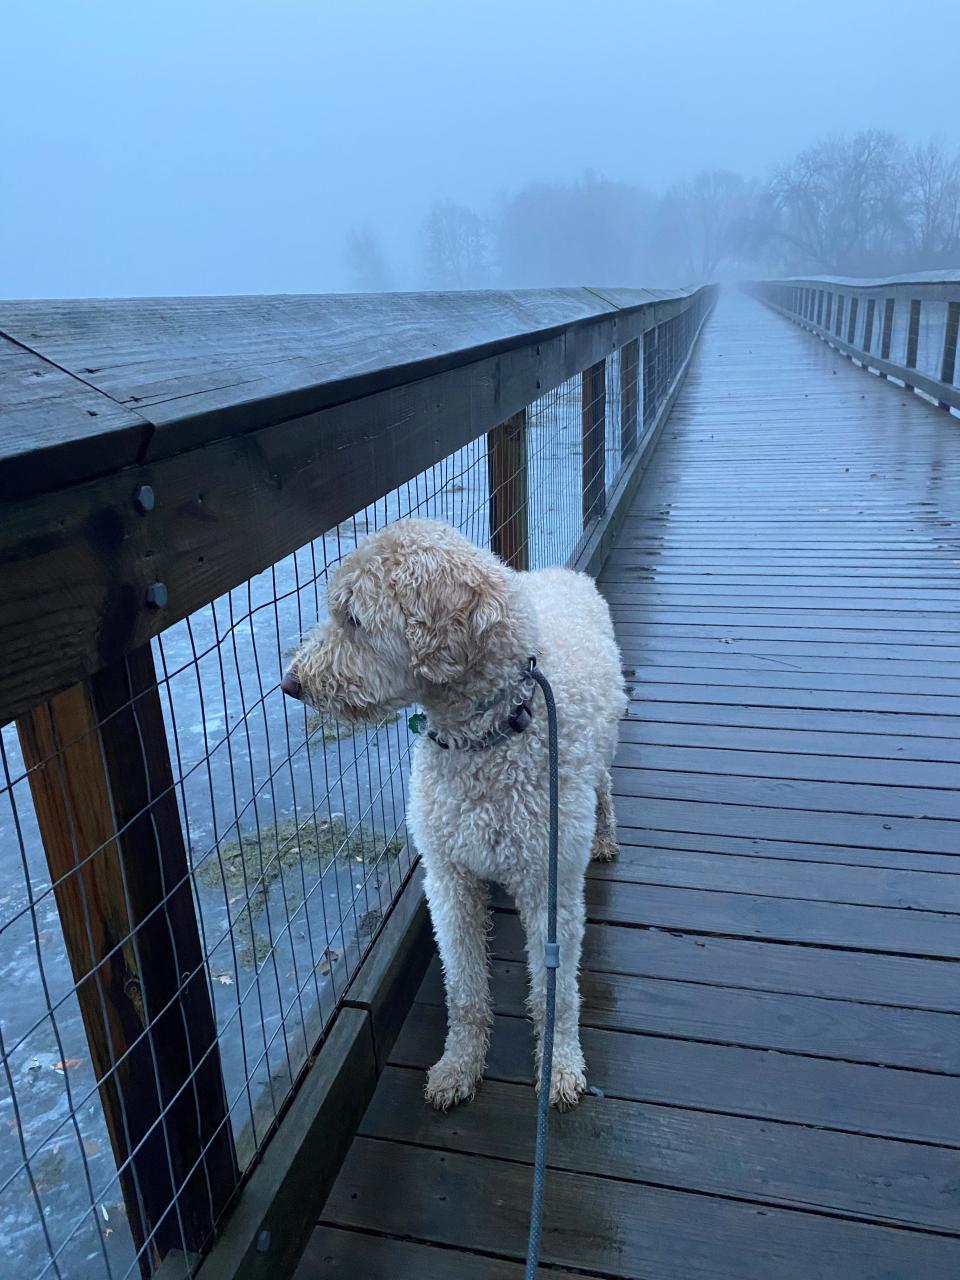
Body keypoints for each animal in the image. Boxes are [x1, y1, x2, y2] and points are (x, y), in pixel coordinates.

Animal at [281, 519, 627, 1111]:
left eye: (354, 618)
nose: (291, 683)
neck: (485, 737)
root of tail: (566, 573)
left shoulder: (549, 883)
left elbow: (556, 992)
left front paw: (559, 1065)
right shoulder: (447, 876)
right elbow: (463, 987)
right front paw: (459, 1065)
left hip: (598, 755)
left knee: (603, 787)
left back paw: (604, 836)